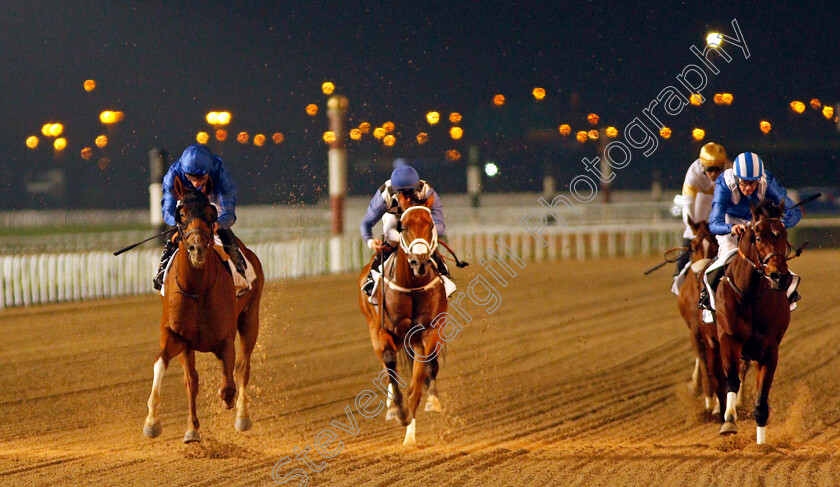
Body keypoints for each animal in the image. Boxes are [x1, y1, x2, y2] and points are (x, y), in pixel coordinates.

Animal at [143, 177, 264, 444]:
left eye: (210, 213)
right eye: (181, 213)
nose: (197, 248)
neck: (197, 289)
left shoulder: (225, 338)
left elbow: (230, 381)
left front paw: (230, 403)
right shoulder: (176, 336)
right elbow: (162, 364)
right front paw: (153, 422)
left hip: (250, 318)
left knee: (243, 368)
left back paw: (242, 416)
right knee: (192, 380)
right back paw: (192, 430)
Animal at [360, 193, 452, 448]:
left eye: (430, 226)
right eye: (403, 226)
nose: (419, 262)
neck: (411, 286)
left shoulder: (429, 330)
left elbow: (424, 372)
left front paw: (427, 403)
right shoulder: (383, 331)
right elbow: (390, 362)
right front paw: (398, 410)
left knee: (421, 376)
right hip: (373, 329)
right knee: (388, 365)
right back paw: (394, 405)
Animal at [716, 199, 796, 446]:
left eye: (783, 234)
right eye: (758, 237)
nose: (780, 277)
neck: (749, 294)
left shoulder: (769, 349)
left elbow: (762, 400)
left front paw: (761, 445)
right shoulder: (729, 339)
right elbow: (731, 380)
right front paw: (728, 422)